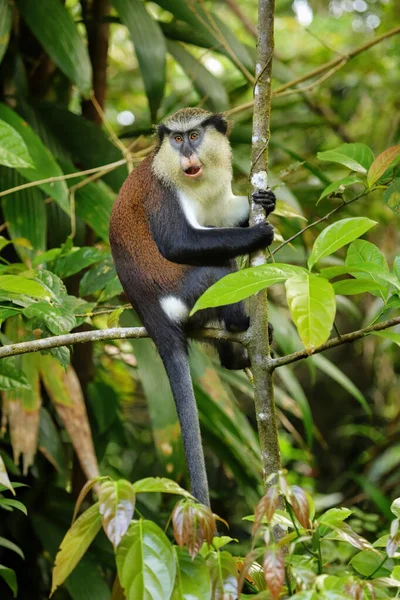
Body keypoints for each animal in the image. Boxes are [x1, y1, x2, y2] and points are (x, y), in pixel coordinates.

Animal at [110, 108, 278, 506]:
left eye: (194, 135)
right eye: (176, 138)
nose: (186, 153)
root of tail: (153, 315)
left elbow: (222, 216)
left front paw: (264, 203)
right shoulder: (162, 192)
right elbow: (179, 242)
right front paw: (257, 233)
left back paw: (235, 354)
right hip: (189, 293)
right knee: (220, 269)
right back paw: (241, 325)